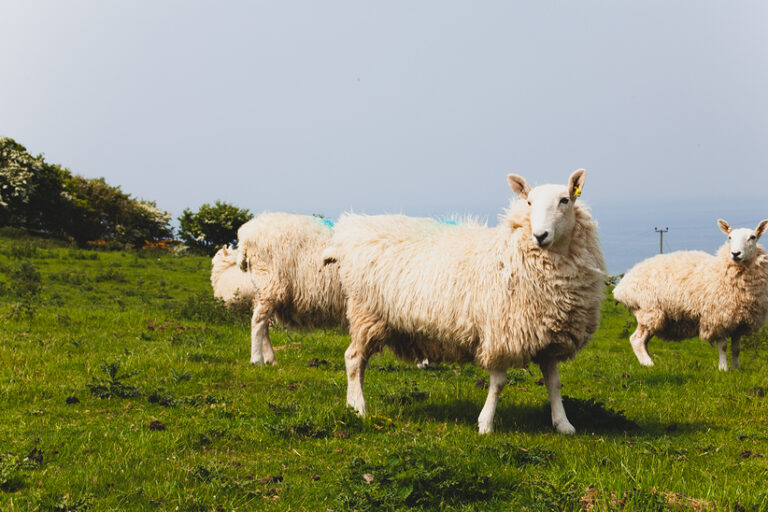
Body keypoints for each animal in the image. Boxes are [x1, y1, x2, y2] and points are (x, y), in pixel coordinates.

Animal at [323, 170, 606, 434]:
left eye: (565, 200)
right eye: (528, 202)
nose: (540, 235)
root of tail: (352, 228)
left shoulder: (547, 338)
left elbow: (554, 383)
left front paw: (563, 424)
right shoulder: (500, 332)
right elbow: (498, 383)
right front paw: (486, 424)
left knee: (358, 361)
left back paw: (351, 405)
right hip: (366, 313)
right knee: (354, 359)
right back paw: (359, 408)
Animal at [613, 219, 768, 371]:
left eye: (753, 237)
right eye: (729, 237)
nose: (735, 253)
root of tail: (621, 287)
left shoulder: (739, 322)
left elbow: (736, 349)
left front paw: (737, 369)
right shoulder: (717, 318)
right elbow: (723, 347)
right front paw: (723, 369)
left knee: (643, 341)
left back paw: (648, 361)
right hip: (648, 311)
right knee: (637, 340)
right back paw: (649, 364)